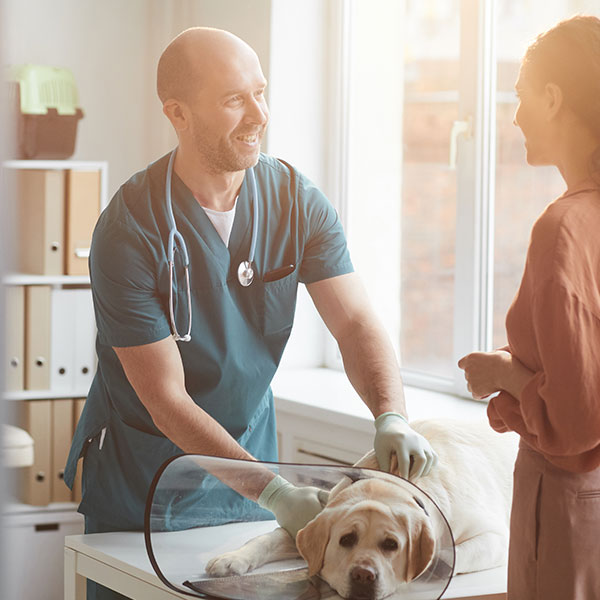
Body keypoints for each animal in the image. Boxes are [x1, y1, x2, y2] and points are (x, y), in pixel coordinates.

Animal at [204, 420, 516, 596]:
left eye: (390, 545)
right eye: (346, 541)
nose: (363, 576)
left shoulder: (497, 539)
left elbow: (451, 555)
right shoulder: (309, 522)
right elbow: (268, 537)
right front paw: (233, 558)